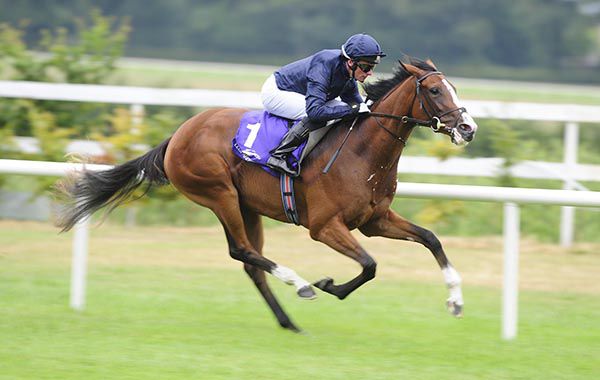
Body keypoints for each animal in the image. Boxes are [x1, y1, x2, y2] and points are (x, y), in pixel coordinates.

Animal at [56, 57, 478, 332]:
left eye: (455, 88)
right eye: (436, 90)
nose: (468, 128)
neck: (363, 152)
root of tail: (177, 135)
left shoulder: (375, 220)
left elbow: (430, 239)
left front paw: (456, 301)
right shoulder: (324, 226)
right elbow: (370, 265)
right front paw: (328, 285)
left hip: (247, 206)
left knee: (250, 261)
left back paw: (287, 321)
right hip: (219, 193)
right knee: (242, 251)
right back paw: (302, 284)